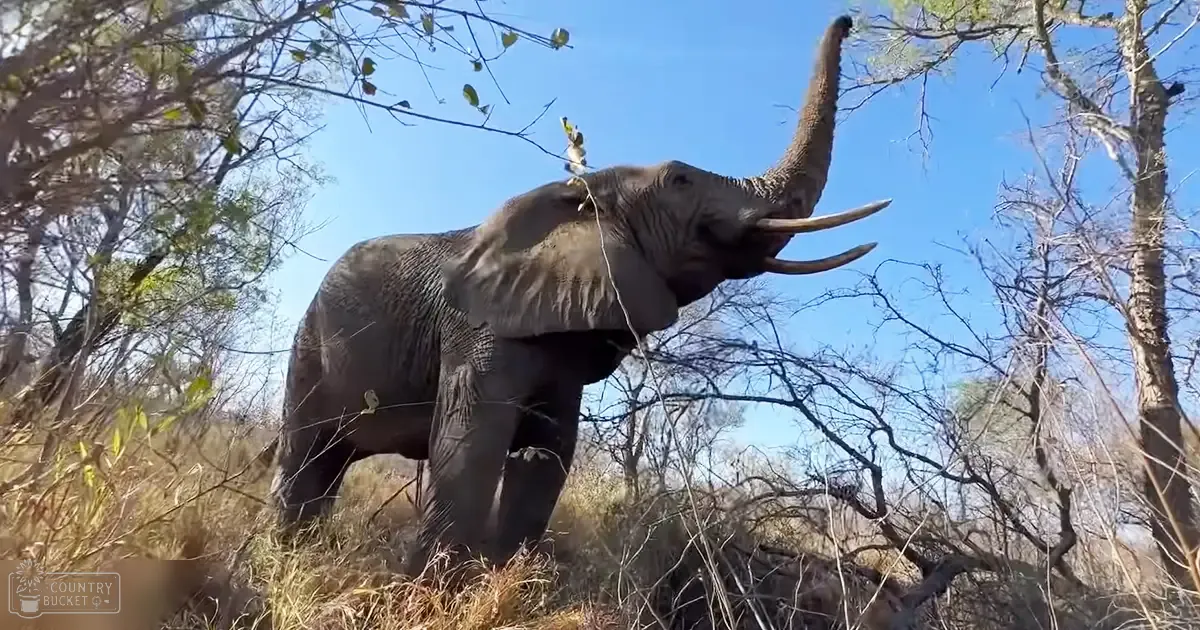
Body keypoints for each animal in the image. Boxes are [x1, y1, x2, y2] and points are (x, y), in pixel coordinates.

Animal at [268, 14, 890, 579]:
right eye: (680, 179)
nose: (848, 20)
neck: (576, 194)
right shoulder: (479, 329)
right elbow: (471, 443)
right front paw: (431, 590)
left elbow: (551, 452)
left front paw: (506, 577)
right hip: (308, 344)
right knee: (305, 453)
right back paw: (286, 556)